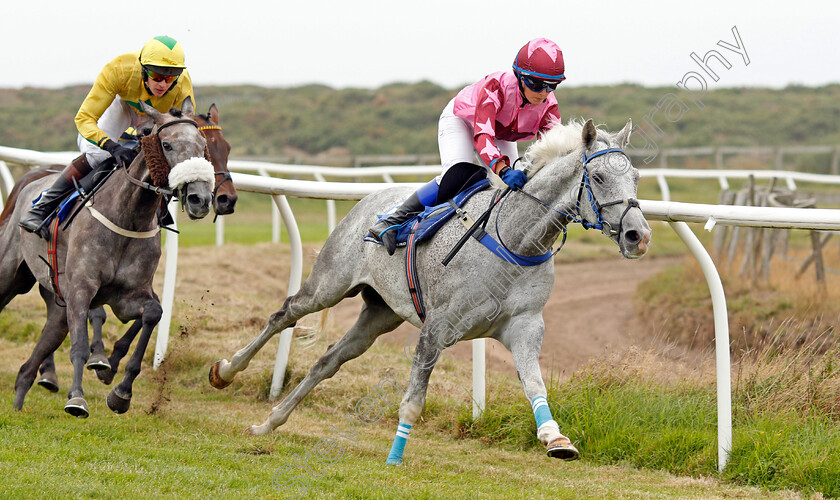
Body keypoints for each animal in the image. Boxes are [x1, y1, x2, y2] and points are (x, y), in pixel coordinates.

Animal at [1, 95, 217, 416]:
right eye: (167, 145)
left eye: (203, 146)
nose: (200, 199)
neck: (129, 216)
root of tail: (28, 180)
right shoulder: (82, 289)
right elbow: (79, 345)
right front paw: (77, 397)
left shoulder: (127, 296)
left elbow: (153, 313)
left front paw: (120, 392)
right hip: (10, 276)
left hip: (56, 301)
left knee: (33, 358)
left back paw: (20, 399)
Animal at [208, 119, 648, 462]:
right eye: (599, 177)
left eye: (636, 178)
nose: (638, 236)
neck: (514, 239)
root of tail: (367, 200)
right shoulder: (437, 328)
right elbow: (413, 402)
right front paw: (395, 456)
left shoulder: (525, 326)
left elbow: (535, 385)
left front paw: (555, 438)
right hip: (328, 285)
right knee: (284, 314)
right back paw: (225, 371)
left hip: (379, 314)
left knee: (328, 361)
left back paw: (270, 422)